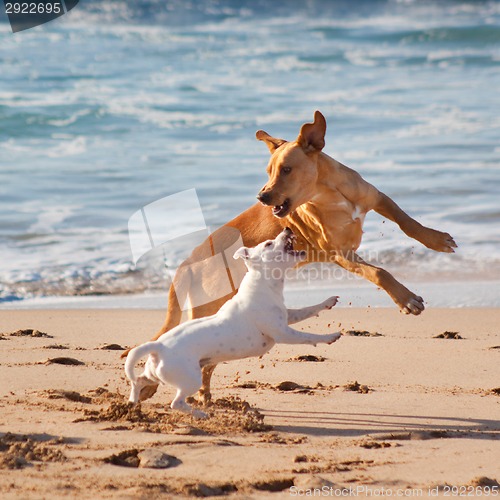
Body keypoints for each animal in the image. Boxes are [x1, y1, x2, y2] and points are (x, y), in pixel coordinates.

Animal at [126, 228, 344, 418]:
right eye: (268, 243)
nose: (287, 228)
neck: (263, 284)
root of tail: (159, 346)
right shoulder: (283, 333)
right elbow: (307, 337)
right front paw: (330, 337)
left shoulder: (288, 316)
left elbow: (307, 310)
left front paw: (327, 302)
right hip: (191, 378)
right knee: (176, 402)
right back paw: (200, 414)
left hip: (154, 373)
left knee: (139, 381)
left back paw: (132, 403)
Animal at [130, 110, 458, 402]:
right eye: (269, 172)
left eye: (286, 169)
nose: (261, 197)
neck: (329, 194)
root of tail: (186, 265)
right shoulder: (341, 254)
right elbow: (379, 272)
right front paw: (407, 299)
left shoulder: (376, 198)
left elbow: (407, 222)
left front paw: (436, 239)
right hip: (208, 309)